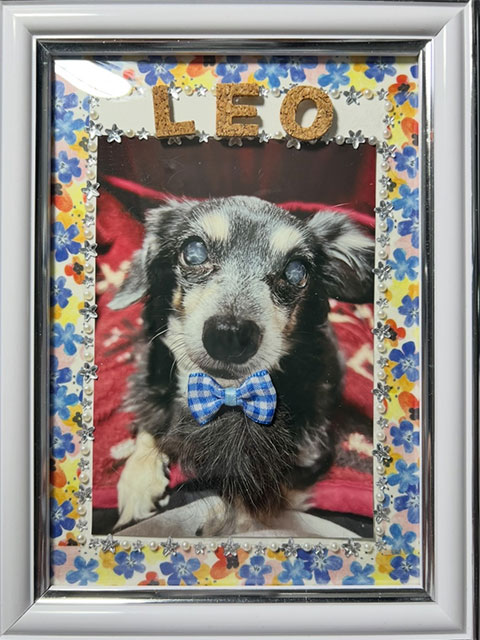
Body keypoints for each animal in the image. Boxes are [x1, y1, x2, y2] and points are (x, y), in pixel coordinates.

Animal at [109, 195, 374, 532]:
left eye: (297, 271)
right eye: (193, 252)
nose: (230, 335)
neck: (225, 392)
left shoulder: (306, 458)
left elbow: (253, 498)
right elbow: (150, 425)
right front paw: (138, 482)